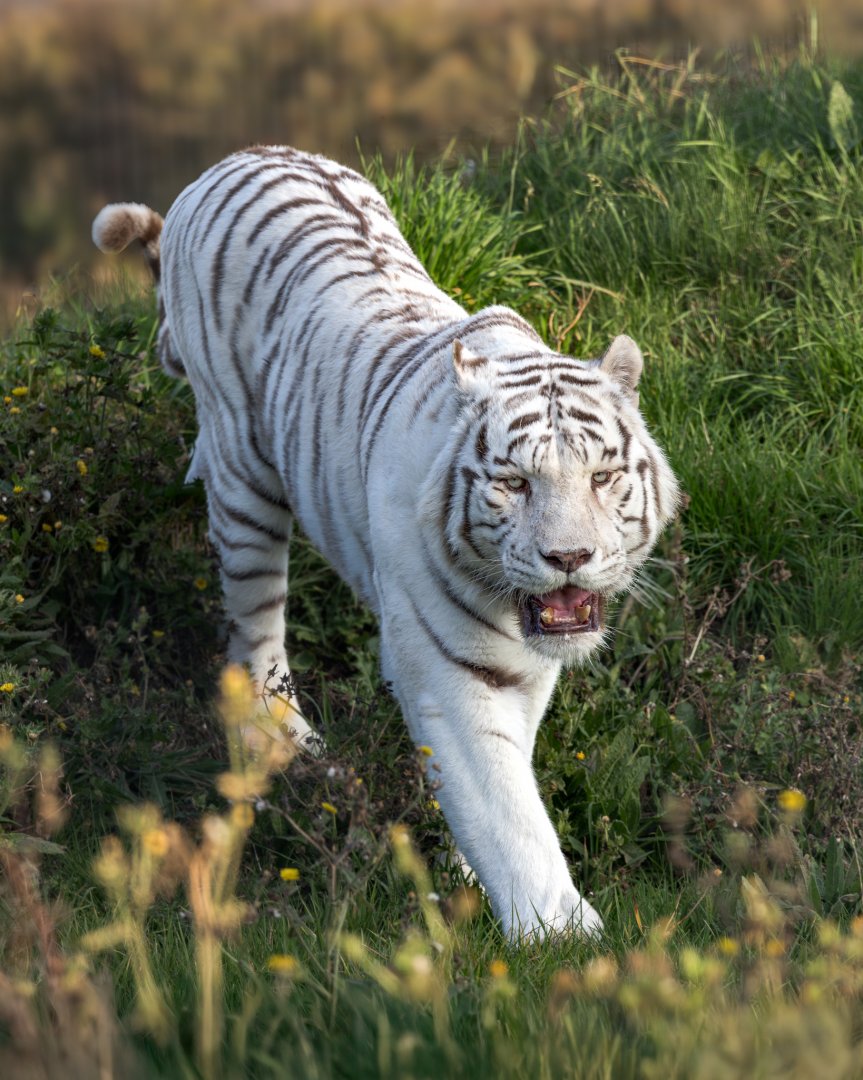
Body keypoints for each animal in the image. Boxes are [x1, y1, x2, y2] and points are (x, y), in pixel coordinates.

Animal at [92, 145, 680, 940]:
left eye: (602, 476)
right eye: (514, 483)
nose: (568, 559)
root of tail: (236, 158)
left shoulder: (523, 672)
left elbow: (494, 782)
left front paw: (473, 877)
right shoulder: (451, 672)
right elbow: (508, 810)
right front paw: (563, 938)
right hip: (243, 480)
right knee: (253, 631)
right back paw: (286, 747)